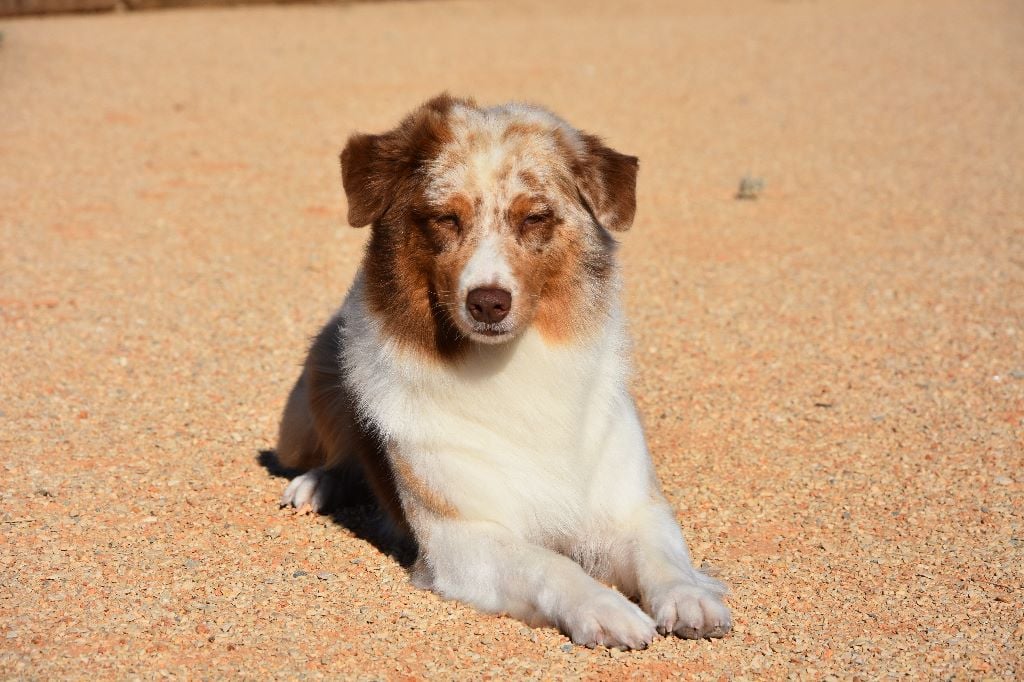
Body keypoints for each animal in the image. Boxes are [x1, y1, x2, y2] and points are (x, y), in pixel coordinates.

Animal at [276, 95, 733, 647]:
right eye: (445, 219)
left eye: (535, 217)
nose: (488, 303)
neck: (512, 366)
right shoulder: (462, 538)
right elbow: (548, 564)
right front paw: (605, 609)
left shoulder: (631, 507)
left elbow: (662, 555)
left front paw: (689, 596)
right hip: (309, 395)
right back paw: (315, 485)